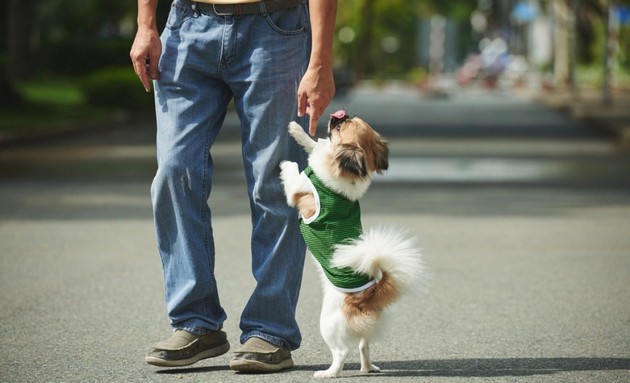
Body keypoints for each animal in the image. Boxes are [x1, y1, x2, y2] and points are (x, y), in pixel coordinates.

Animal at [280, 110, 424, 378]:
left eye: (341, 127)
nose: (338, 115)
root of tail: (371, 296)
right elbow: (314, 145)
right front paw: (298, 131)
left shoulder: (297, 190)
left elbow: (297, 171)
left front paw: (287, 163)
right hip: (362, 334)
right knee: (363, 346)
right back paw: (369, 368)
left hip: (328, 324)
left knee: (341, 352)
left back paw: (327, 373)